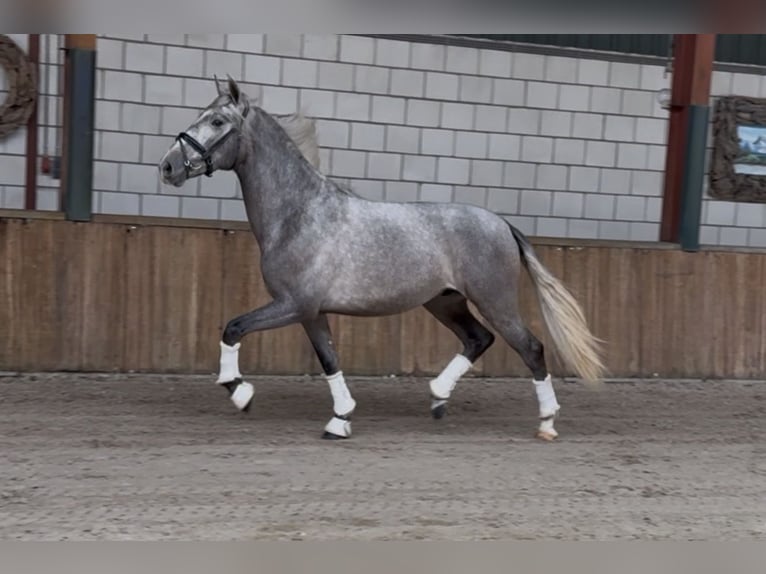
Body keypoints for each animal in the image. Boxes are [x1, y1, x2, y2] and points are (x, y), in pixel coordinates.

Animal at [158, 76, 606, 442]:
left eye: (217, 122)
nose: (168, 166)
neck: (299, 214)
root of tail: (500, 222)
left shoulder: (293, 304)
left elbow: (233, 327)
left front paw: (241, 393)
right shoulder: (311, 312)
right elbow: (329, 359)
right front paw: (340, 420)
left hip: (494, 300)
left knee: (530, 348)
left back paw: (547, 422)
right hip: (444, 301)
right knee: (479, 339)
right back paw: (438, 398)